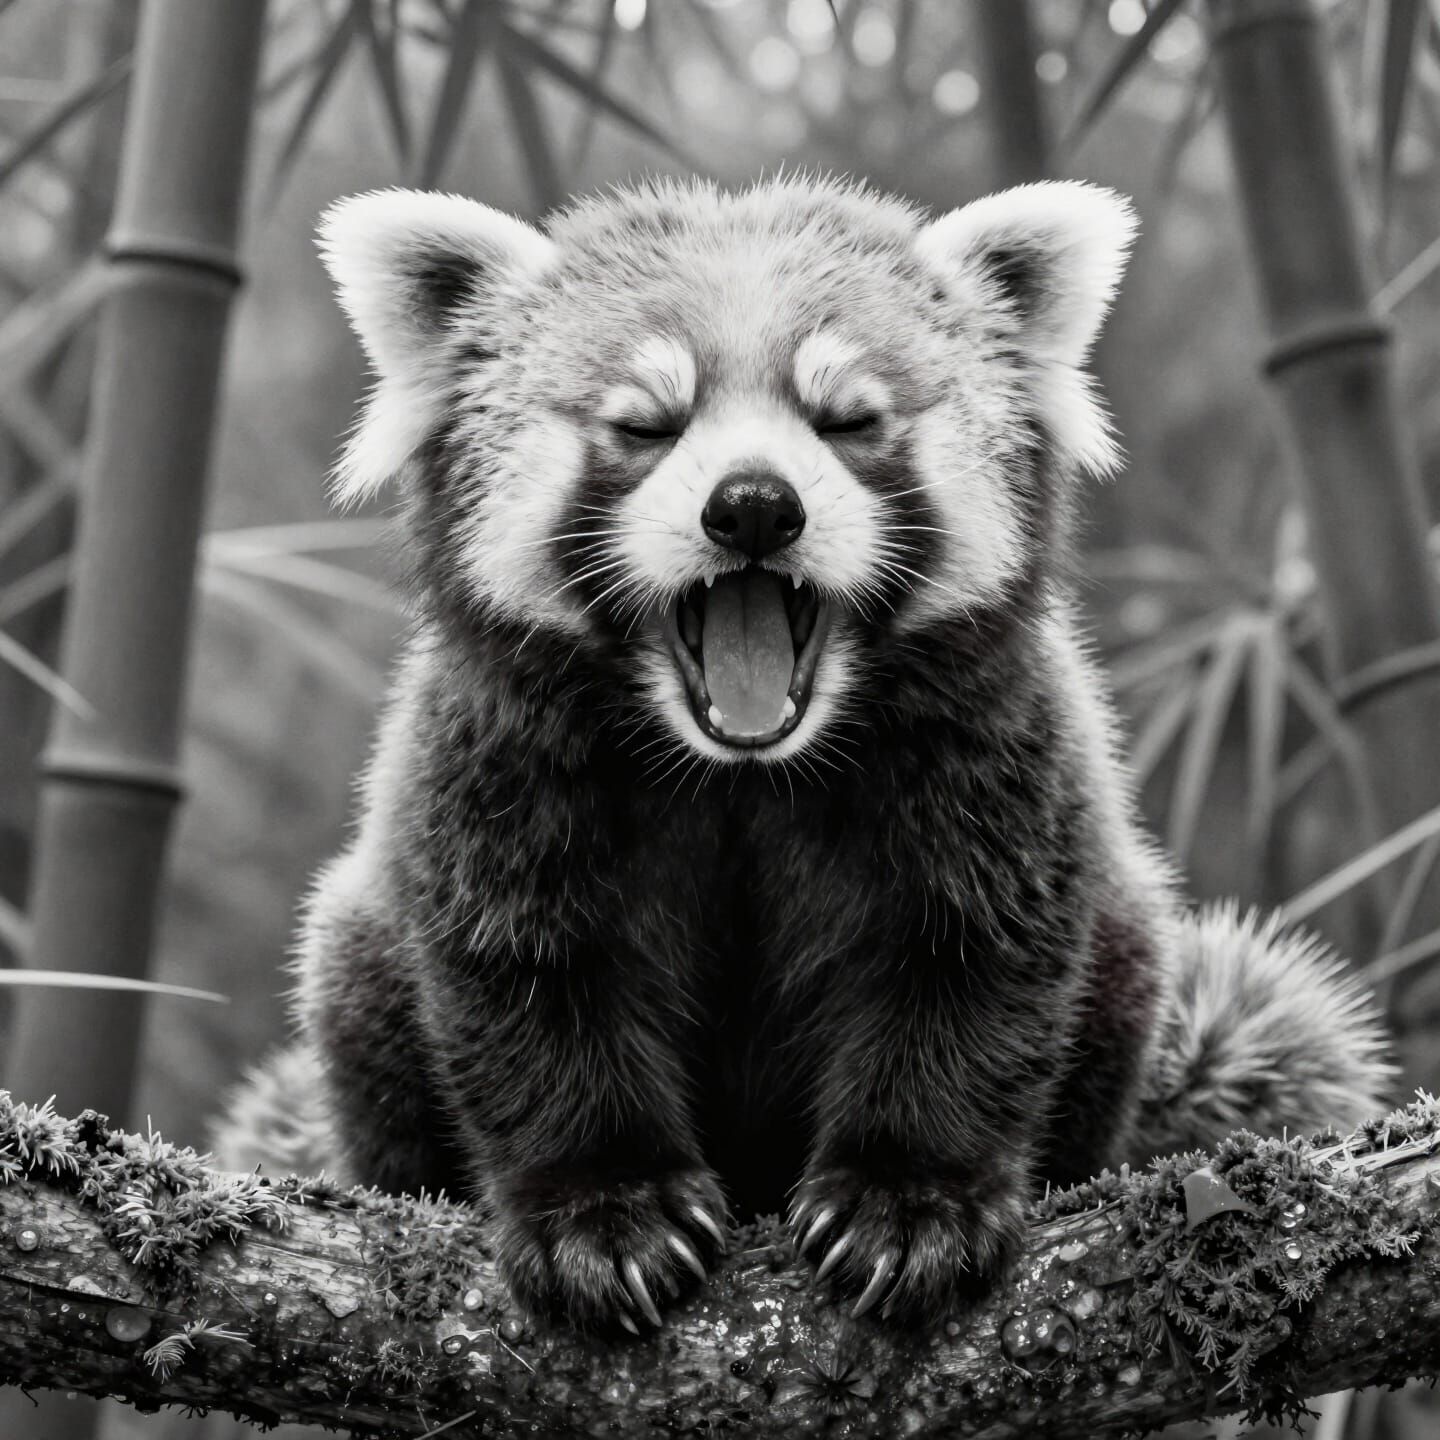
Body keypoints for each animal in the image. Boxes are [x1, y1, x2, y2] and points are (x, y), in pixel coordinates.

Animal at [216, 176, 1391, 1334]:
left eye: (848, 420)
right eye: (645, 425)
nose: (751, 505)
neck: (739, 771)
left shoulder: (1000, 756)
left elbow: (968, 970)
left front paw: (904, 1207)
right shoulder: (491, 763)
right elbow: (531, 982)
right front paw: (609, 1214)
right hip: (357, 967)